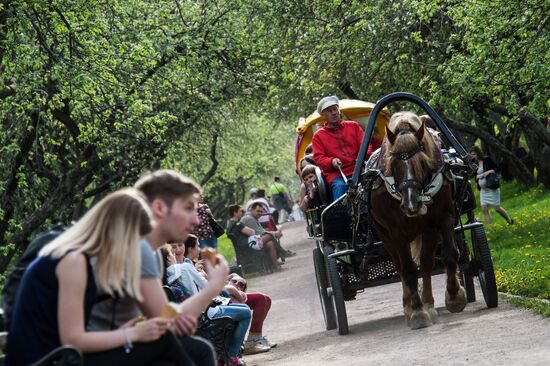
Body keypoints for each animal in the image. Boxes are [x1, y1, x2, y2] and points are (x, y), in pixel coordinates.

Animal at [370, 111, 466, 328]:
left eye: (421, 162)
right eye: (394, 164)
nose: (412, 205)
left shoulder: (442, 218)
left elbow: (449, 255)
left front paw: (454, 297)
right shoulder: (396, 231)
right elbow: (409, 270)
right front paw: (416, 312)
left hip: (427, 230)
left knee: (427, 262)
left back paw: (429, 303)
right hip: (385, 235)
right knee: (400, 267)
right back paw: (409, 306)